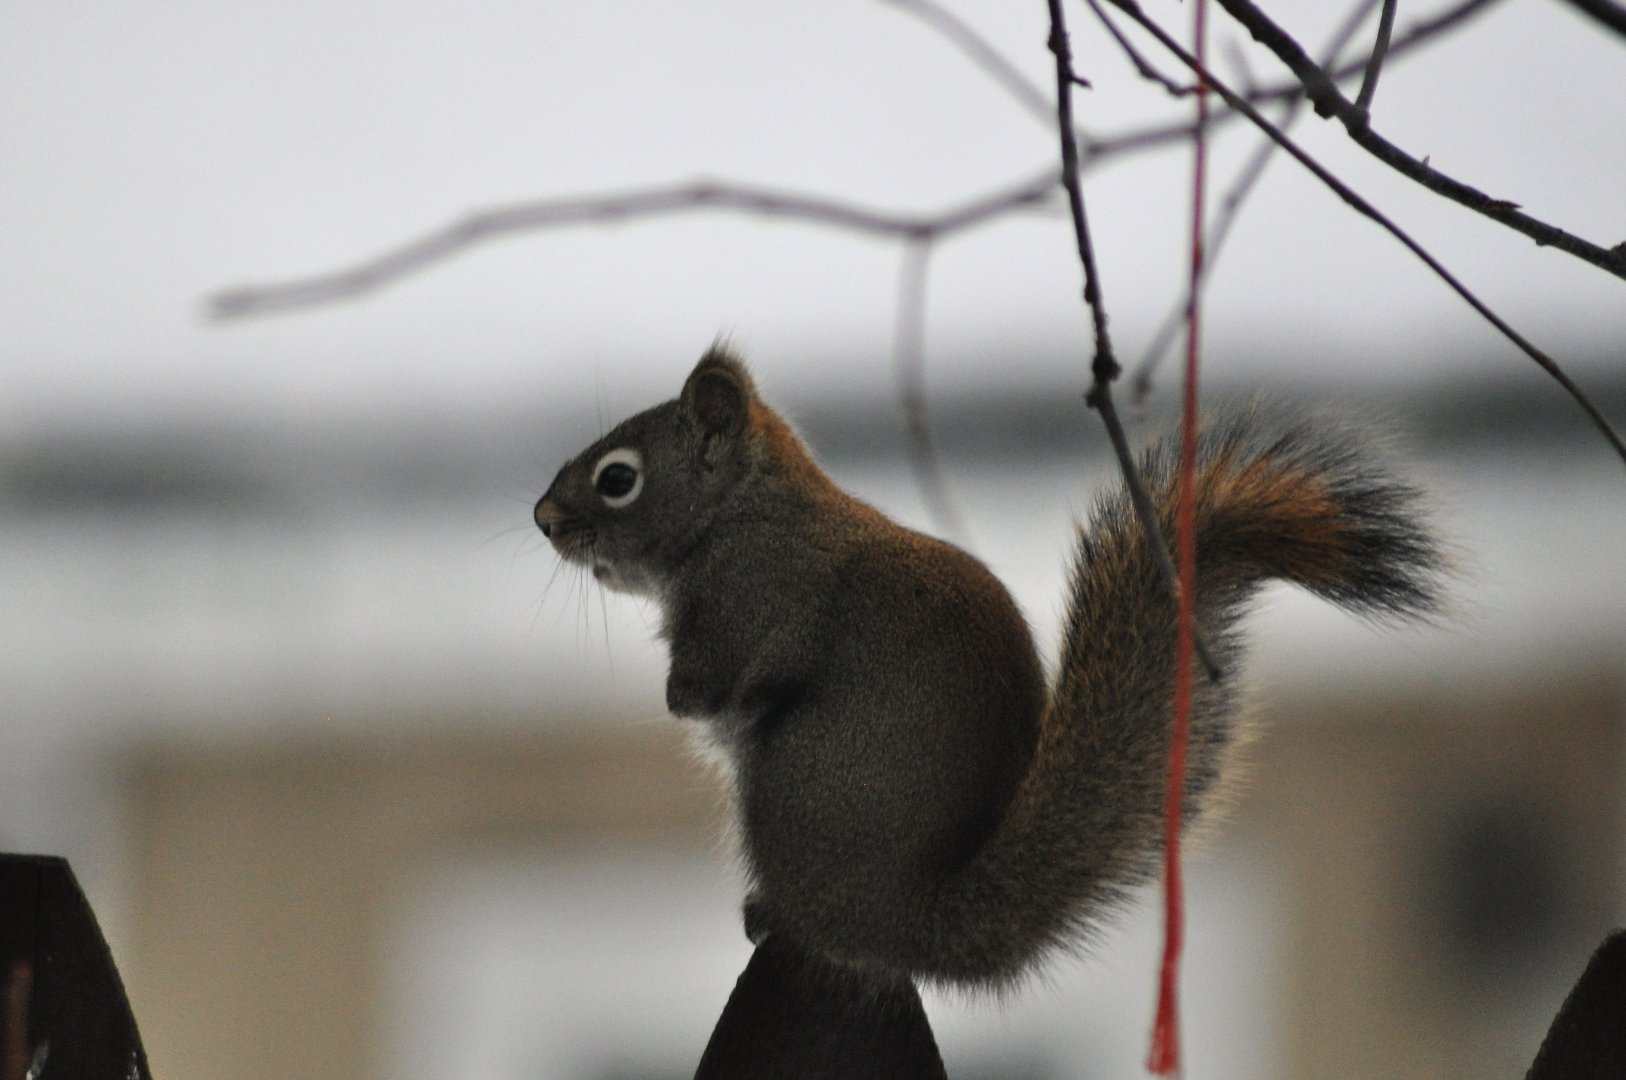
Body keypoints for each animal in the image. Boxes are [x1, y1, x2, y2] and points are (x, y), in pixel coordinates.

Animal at [534, 346, 1443, 990]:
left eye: (619, 479)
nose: (542, 518)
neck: (740, 509)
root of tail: (916, 917)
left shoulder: (747, 597)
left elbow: (706, 684)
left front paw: (676, 692)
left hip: (793, 784)